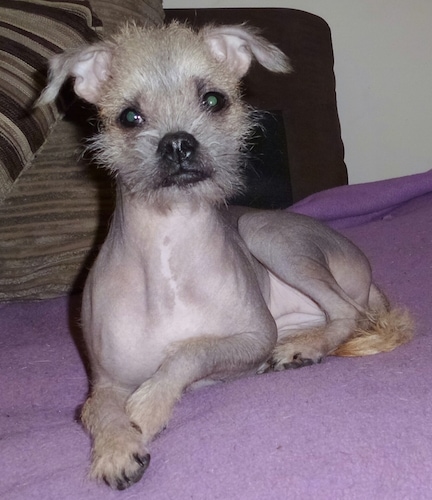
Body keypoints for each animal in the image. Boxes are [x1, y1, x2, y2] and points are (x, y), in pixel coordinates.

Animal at [37, 22, 412, 488]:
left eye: (214, 100)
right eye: (129, 116)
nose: (178, 143)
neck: (168, 245)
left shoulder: (254, 337)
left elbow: (191, 352)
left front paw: (150, 405)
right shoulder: (105, 381)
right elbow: (98, 410)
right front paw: (115, 447)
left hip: (263, 232)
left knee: (348, 312)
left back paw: (302, 348)